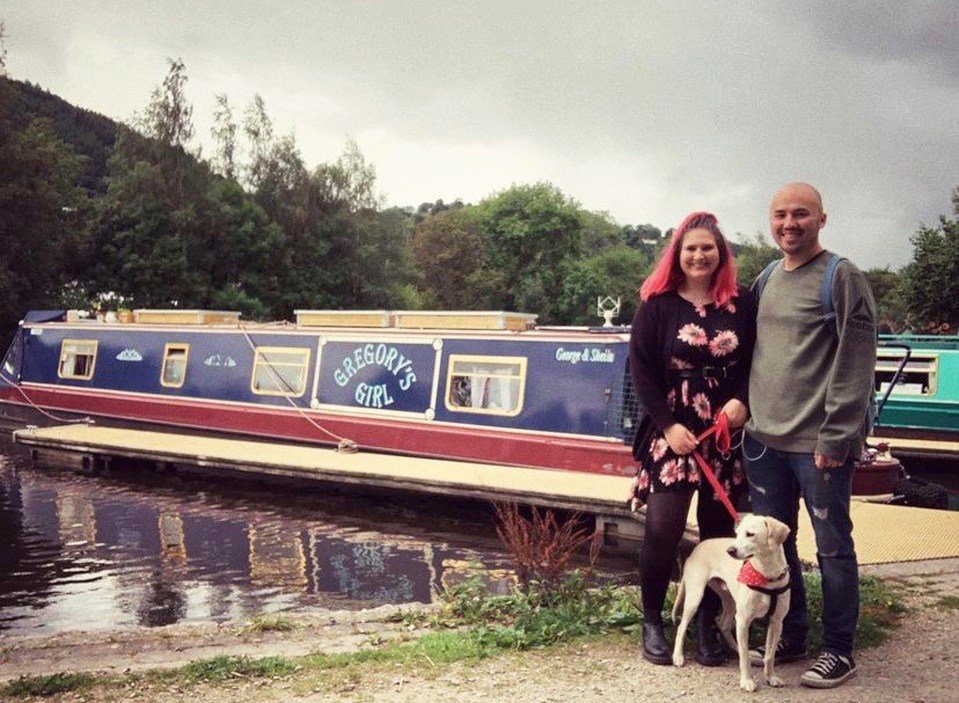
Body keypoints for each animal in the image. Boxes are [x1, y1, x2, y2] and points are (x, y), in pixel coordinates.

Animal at [672, 516, 792, 692]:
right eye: (737, 533)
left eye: (750, 534)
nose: (730, 551)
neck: (766, 575)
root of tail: (698, 546)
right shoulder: (743, 620)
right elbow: (745, 658)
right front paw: (747, 681)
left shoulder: (777, 622)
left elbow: (770, 655)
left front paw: (771, 678)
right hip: (695, 596)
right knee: (682, 626)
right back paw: (677, 656)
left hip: (730, 601)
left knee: (724, 625)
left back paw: (735, 648)